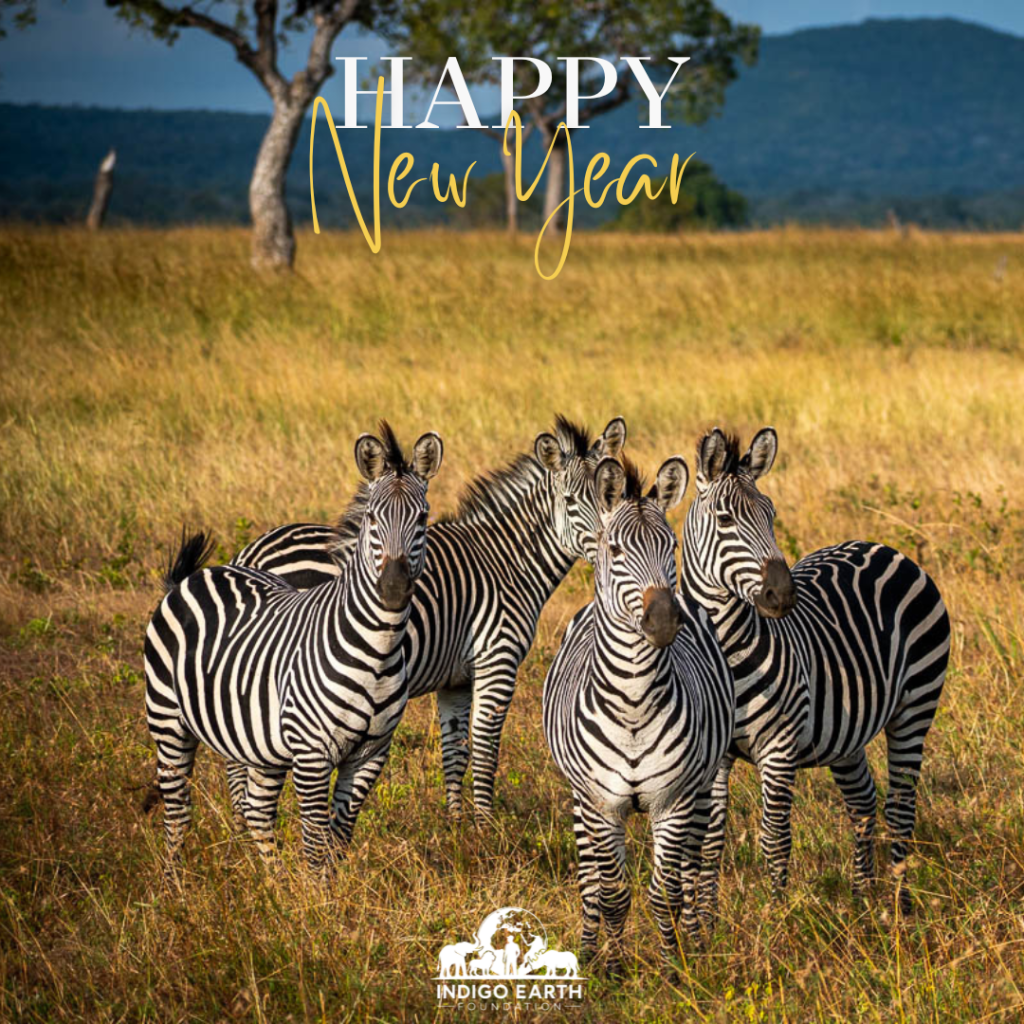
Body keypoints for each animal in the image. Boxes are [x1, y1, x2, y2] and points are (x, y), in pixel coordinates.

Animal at [143, 422, 444, 878]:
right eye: (372, 519)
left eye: (423, 518)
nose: (393, 590)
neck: (378, 653)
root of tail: (198, 575)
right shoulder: (312, 753)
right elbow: (316, 838)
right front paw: (316, 893)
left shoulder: (370, 754)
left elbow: (339, 834)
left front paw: (330, 891)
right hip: (168, 721)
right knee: (178, 810)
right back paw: (174, 884)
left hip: (258, 740)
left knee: (256, 809)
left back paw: (274, 883)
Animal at [228, 416, 628, 823]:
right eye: (571, 501)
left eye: (610, 494)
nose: (611, 546)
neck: (505, 562)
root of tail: (251, 553)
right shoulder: (496, 662)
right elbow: (485, 746)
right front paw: (486, 825)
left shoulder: (455, 679)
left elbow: (455, 749)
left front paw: (456, 824)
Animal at [543, 456, 734, 975]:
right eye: (615, 549)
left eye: (671, 547)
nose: (665, 621)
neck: (632, 705)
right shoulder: (600, 804)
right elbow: (612, 894)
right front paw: (612, 967)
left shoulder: (674, 801)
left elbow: (664, 891)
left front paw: (673, 968)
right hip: (578, 799)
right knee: (589, 882)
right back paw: (588, 950)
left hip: (703, 786)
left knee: (690, 868)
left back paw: (694, 940)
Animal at [682, 427, 950, 914]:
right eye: (725, 519)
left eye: (771, 515)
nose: (783, 594)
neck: (728, 652)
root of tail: (884, 547)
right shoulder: (716, 753)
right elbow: (710, 841)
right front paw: (708, 922)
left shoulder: (779, 748)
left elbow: (774, 837)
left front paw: (774, 916)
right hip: (846, 730)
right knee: (863, 801)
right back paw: (863, 899)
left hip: (916, 705)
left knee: (901, 806)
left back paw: (899, 907)